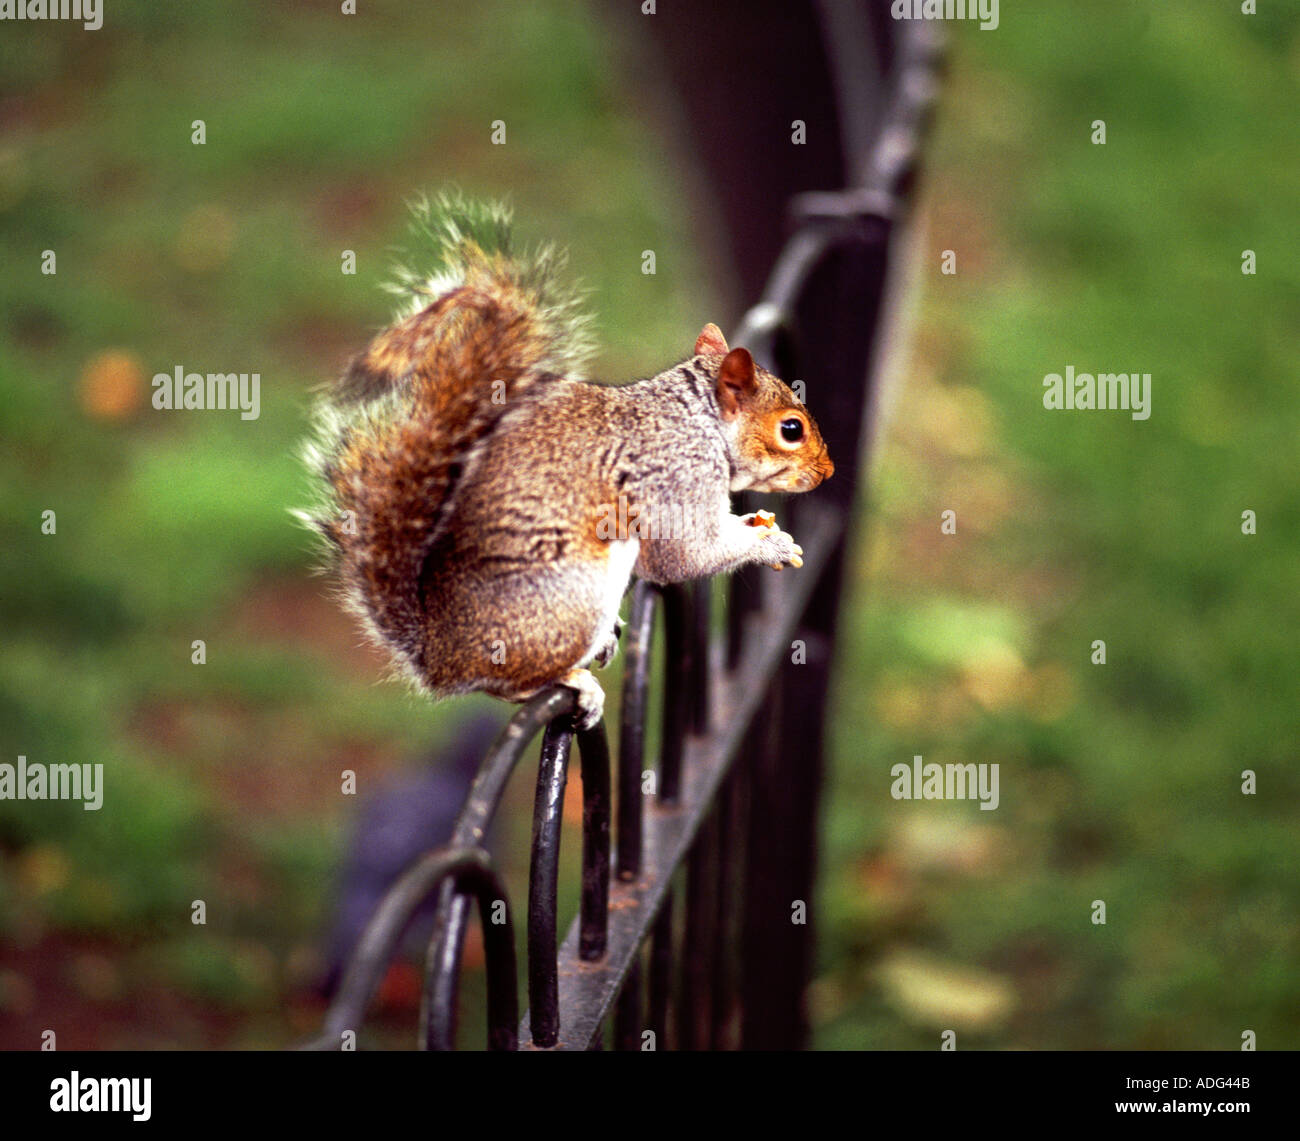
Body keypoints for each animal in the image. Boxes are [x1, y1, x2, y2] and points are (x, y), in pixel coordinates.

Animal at [299, 192, 833, 730]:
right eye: (791, 429)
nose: (827, 472)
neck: (698, 420)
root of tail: (440, 660)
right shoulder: (673, 475)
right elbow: (685, 556)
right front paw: (768, 546)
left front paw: (760, 525)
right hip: (574, 592)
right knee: (511, 685)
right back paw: (574, 682)